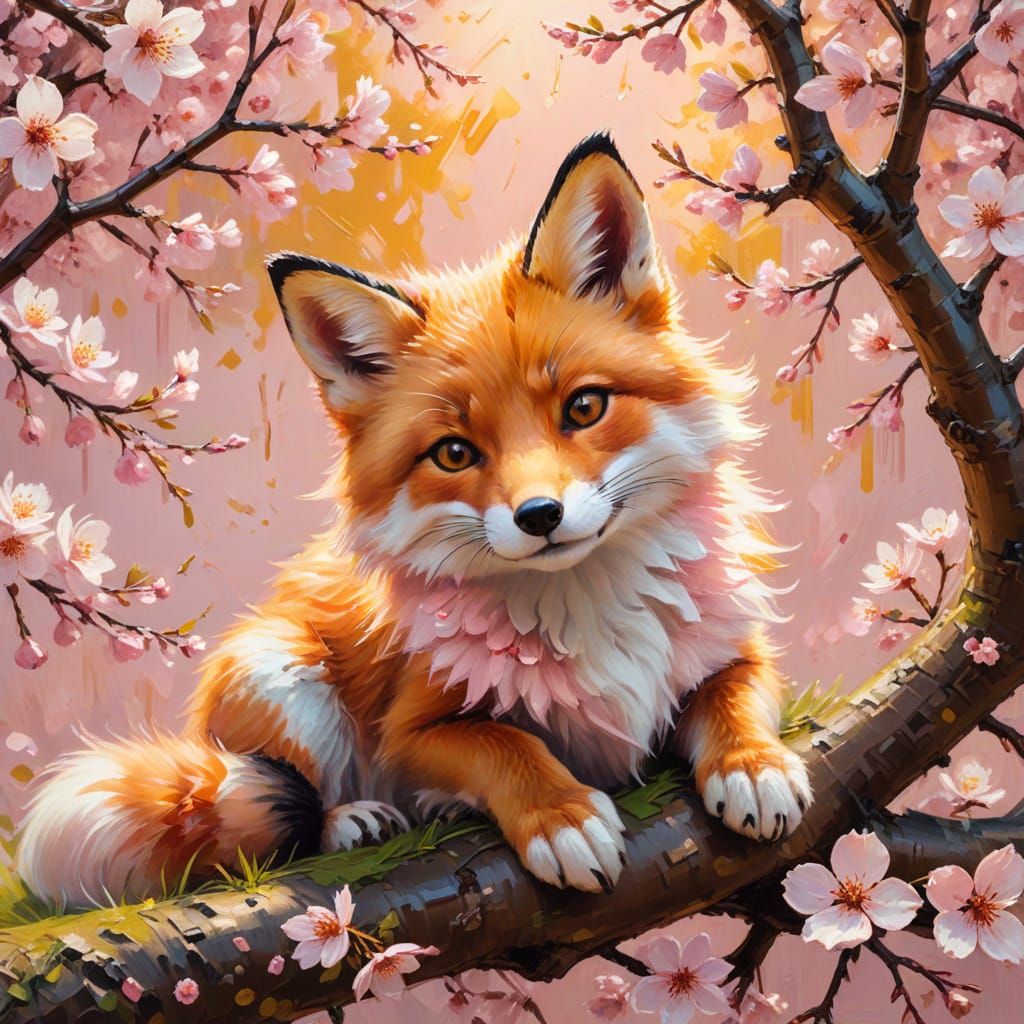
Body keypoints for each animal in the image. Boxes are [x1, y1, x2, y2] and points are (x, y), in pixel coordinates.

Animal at [15, 134, 810, 906]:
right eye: (454, 452)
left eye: (584, 407)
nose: (540, 515)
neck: (590, 611)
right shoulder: (413, 730)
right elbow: (507, 745)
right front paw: (561, 814)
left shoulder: (732, 651)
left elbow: (735, 698)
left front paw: (752, 765)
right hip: (283, 676)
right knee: (292, 805)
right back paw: (358, 820)